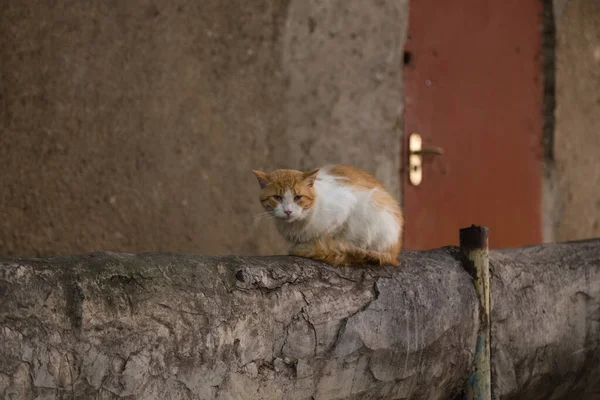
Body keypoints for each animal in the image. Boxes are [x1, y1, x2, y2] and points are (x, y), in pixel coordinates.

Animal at [252, 164, 404, 264]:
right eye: (277, 197)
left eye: (297, 197)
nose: (288, 211)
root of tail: (394, 251)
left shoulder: (345, 206)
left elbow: (332, 236)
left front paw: (324, 246)